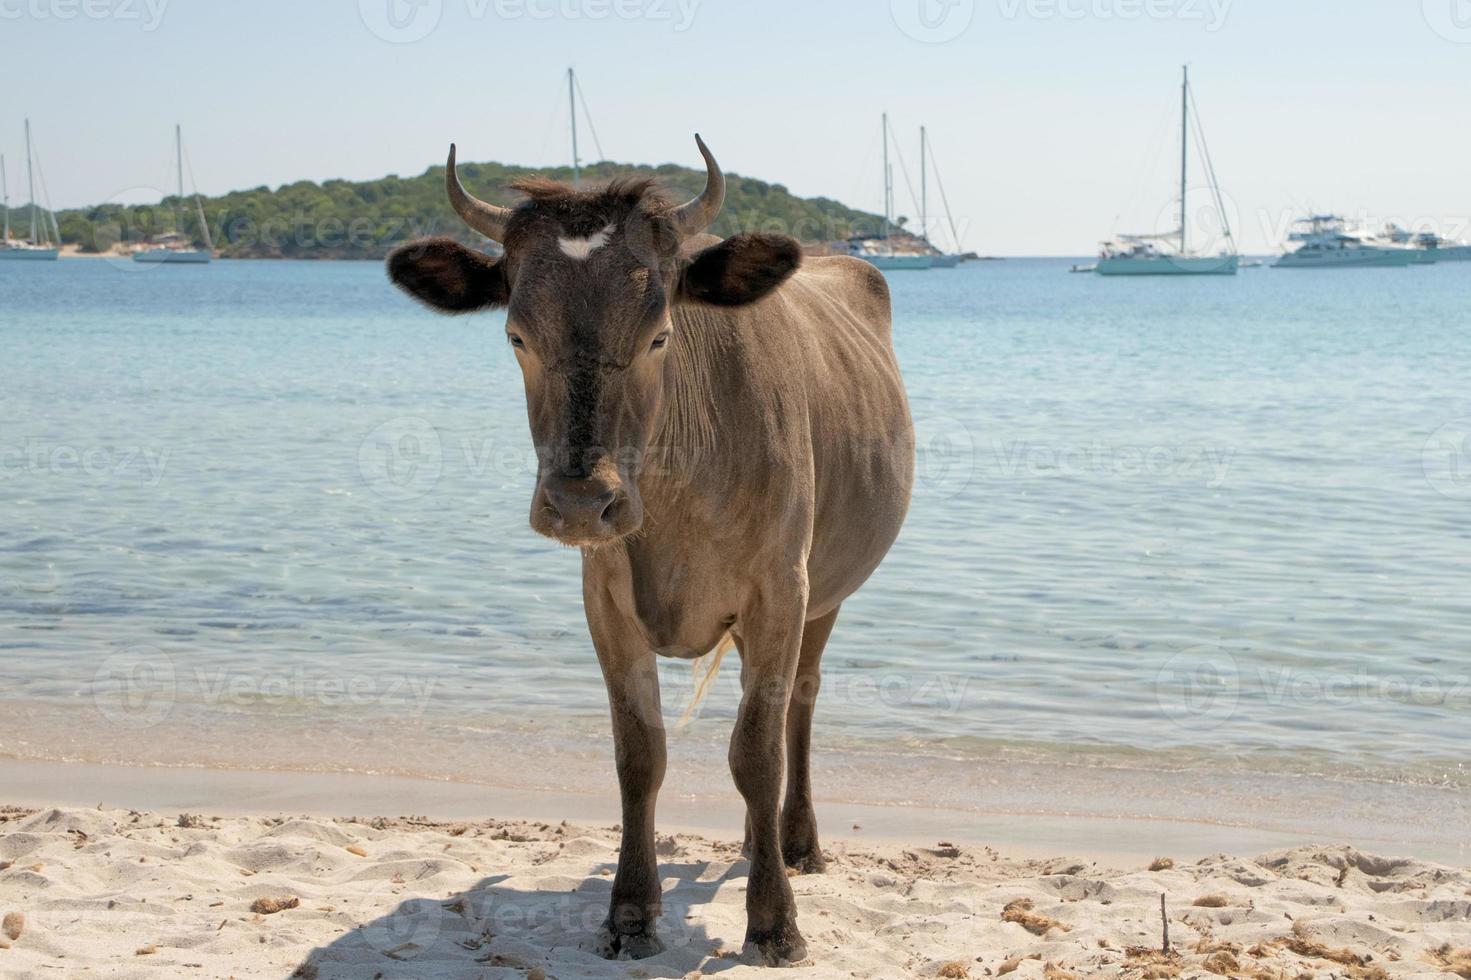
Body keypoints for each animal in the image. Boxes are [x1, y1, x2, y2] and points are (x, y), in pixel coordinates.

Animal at [385, 137, 912, 959]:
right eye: (516, 336)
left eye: (658, 334)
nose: (579, 502)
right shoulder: (604, 599)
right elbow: (640, 754)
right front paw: (631, 910)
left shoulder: (780, 591)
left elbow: (756, 753)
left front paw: (774, 920)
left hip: (826, 592)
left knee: (798, 704)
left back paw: (795, 842)